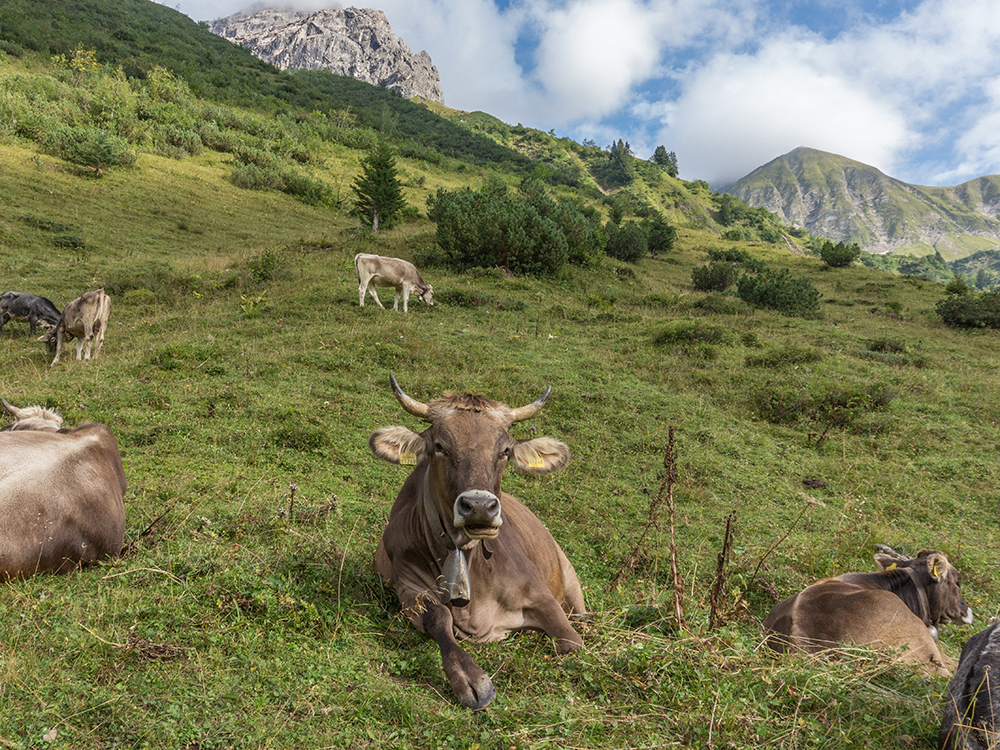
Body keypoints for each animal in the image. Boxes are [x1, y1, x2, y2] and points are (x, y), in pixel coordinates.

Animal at [372, 376, 584, 712]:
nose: (480, 506)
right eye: (440, 446)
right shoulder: (409, 590)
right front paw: (471, 679)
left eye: (505, 450)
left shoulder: (543, 597)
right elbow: (438, 618)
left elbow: (570, 643)